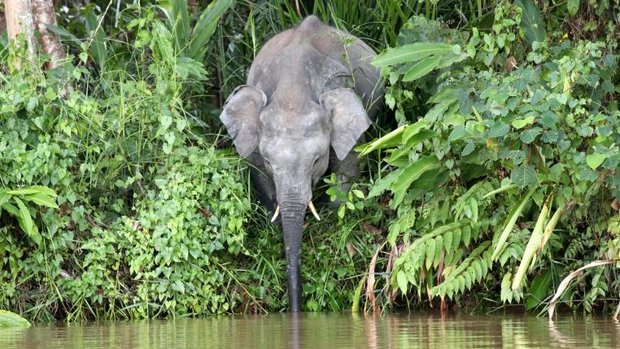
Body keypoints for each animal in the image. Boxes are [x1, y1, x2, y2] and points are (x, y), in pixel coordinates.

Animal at [218, 14, 382, 312]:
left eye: (317, 160)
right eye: (270, 161)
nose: (295, 309)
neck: (293, 91)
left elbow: (347, 167)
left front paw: (331, 221)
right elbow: (258, 174)